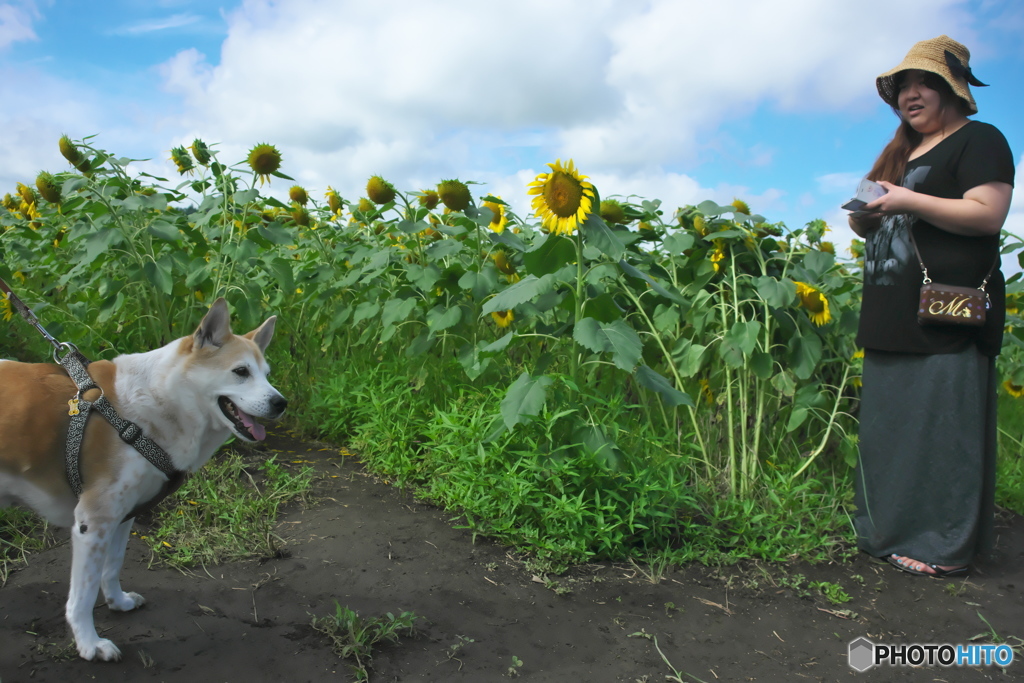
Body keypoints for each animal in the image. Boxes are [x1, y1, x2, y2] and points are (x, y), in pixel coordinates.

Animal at [0, 296, 286, 659]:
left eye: (267, 375)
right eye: (241, 372)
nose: (281, 403)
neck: (150, 406)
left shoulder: (124, 516)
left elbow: (112, 565)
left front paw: (117, 601)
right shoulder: (93, 521)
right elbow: (83, 595)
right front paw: (89, 644)